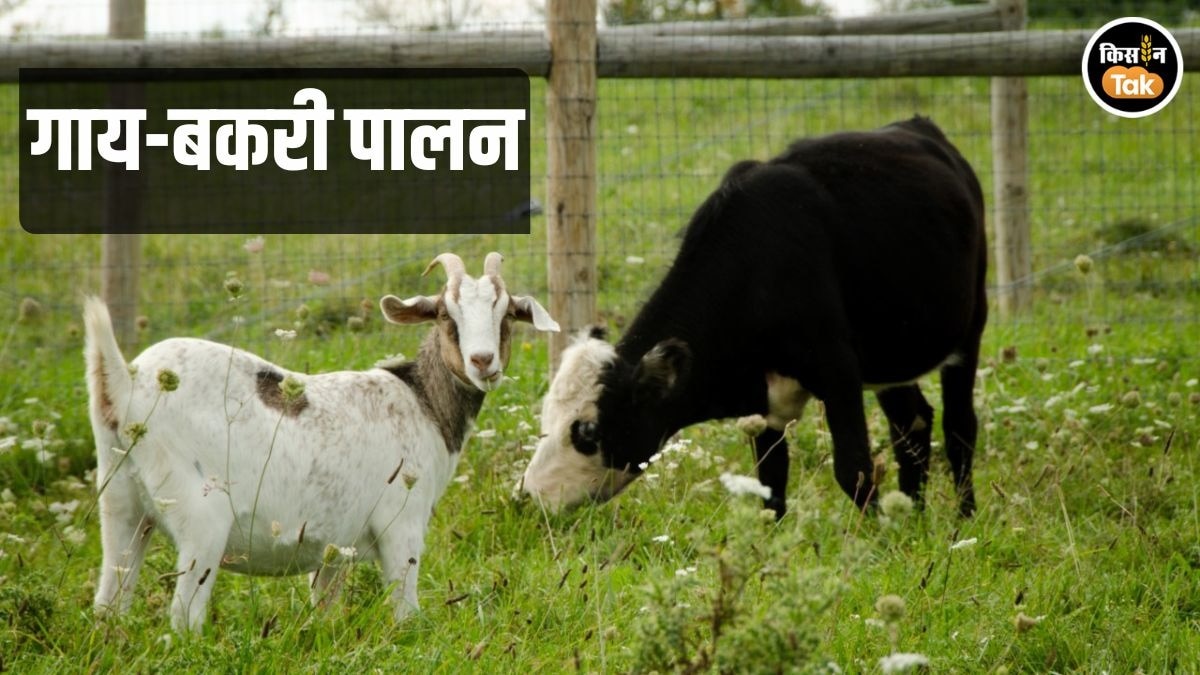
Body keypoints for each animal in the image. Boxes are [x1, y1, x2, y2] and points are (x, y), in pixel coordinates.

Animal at [84, 252, 558, 633]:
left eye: (507, 314)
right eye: (445, 314)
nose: (483, 361)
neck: (421, 402)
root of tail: (125, 384)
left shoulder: (333, 548)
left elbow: (325, 608)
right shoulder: (401, 523)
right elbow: (406, 612)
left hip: (122, 503)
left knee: (109, 601)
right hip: (201, 516)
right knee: (183, 617)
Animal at [521, 117, 987, 519]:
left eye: (586, 431)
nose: (529, 496)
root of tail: (916, 126)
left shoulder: (837, 371)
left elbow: (853, 469)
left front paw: (877, 541)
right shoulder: (765, 406)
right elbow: (771, 486)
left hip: (970, 328)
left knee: (959, 428)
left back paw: (962, 519)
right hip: (893, 355)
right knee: (913, 425)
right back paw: (915, 514)